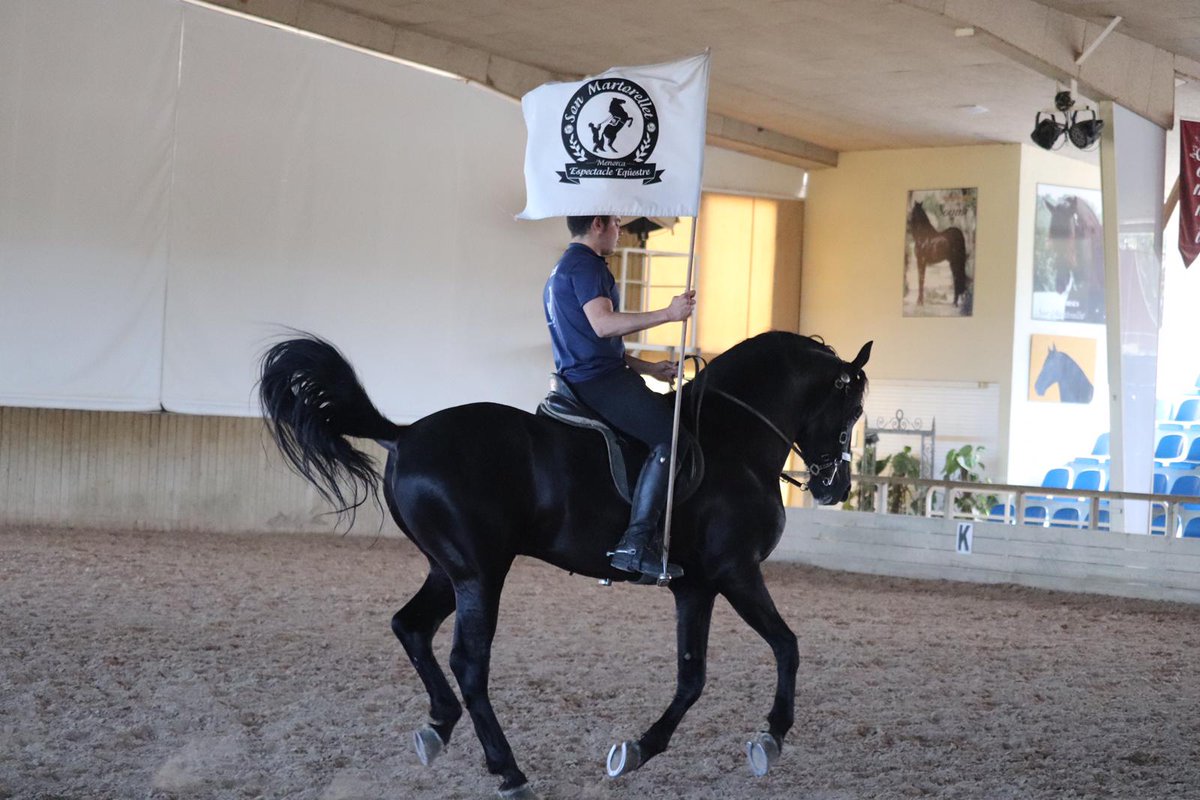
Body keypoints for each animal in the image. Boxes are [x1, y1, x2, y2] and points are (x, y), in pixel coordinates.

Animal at [259, 331, 872, 800]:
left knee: (410, 627)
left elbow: (692, 676)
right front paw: (771, 737)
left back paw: (438, 726)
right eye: (852, 411)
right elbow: (787, 645)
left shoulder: (695, 587)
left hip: (449, 570)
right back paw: (510, 773)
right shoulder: (735, 572)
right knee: (468, 664)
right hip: (480, 573)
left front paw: (638, 750)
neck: (733, 443)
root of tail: (405, 433)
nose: (835, 487)